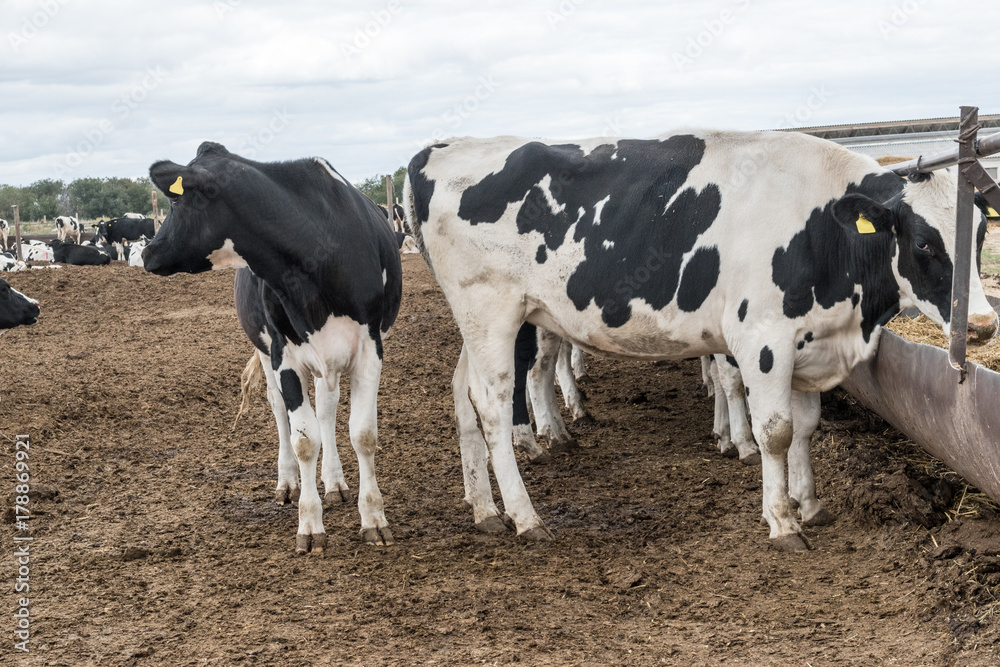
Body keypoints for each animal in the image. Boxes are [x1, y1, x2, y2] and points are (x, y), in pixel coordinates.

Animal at [145, 141, 402, 552]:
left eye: (175, 201)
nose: (147, 252)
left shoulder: (370, 349)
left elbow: (362, 434)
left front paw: (374, 518)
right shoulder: (285, 356)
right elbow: (303, 440)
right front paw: (310, 525)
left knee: (326, 409)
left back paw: (334, 482)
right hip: (268, 353)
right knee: (280, 410)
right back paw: (289, 482)